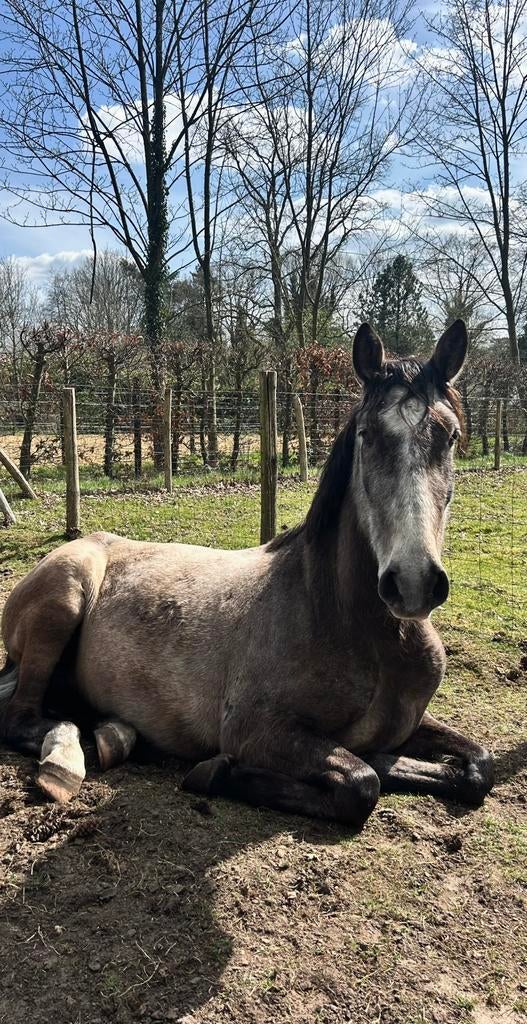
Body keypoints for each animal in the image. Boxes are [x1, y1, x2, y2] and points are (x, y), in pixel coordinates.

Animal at [0, 320, 494, 826]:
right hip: (63, 601)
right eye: (365, 434)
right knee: (22, 718)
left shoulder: (411, 722)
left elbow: (480, 766)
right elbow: (362, 782)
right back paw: (76, 754)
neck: (350, 625)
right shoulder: (254, 729)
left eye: (451, 436)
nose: (413, 582)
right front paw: (216, 773)